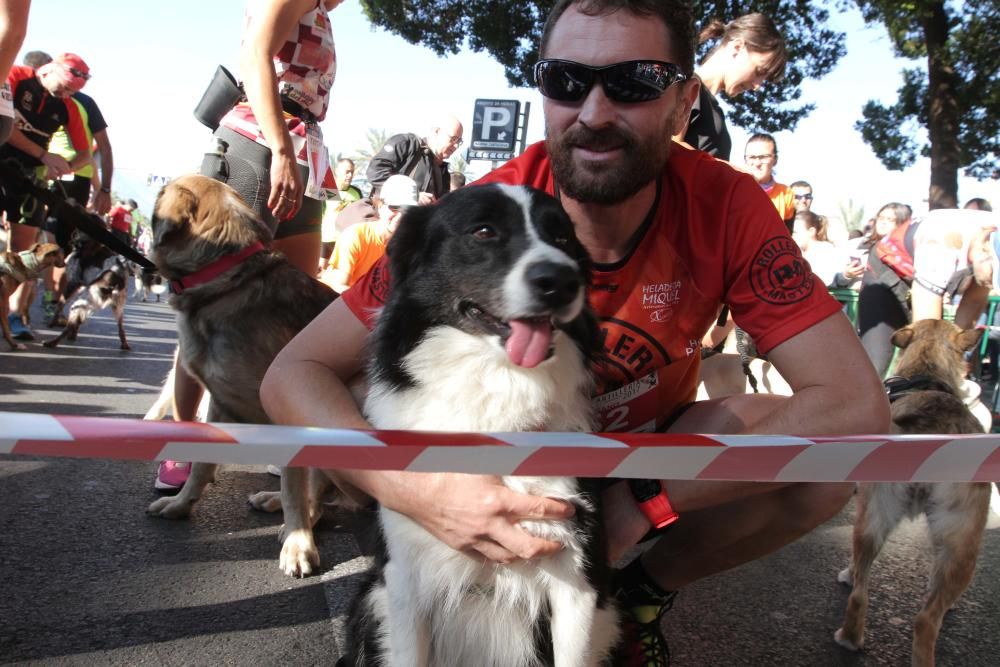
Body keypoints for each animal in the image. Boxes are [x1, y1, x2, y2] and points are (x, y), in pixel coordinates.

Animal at [145, 175, 338, 576]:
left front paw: (298, 546)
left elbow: (295, 492)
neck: (228, 283)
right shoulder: (219, 404)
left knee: (314, 498)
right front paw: (181, 504)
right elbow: (202, 466)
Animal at [346, 185, 624, 667]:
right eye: (483, 231)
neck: (496, 387)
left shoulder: (578, 580)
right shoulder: (403, 580)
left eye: (563, 238)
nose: (561, 281)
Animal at [836, 320, 992, 664]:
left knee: (861, 595)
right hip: (963, 544)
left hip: (871, 518)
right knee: (927, 619)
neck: (927, 374)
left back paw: (850, 636)